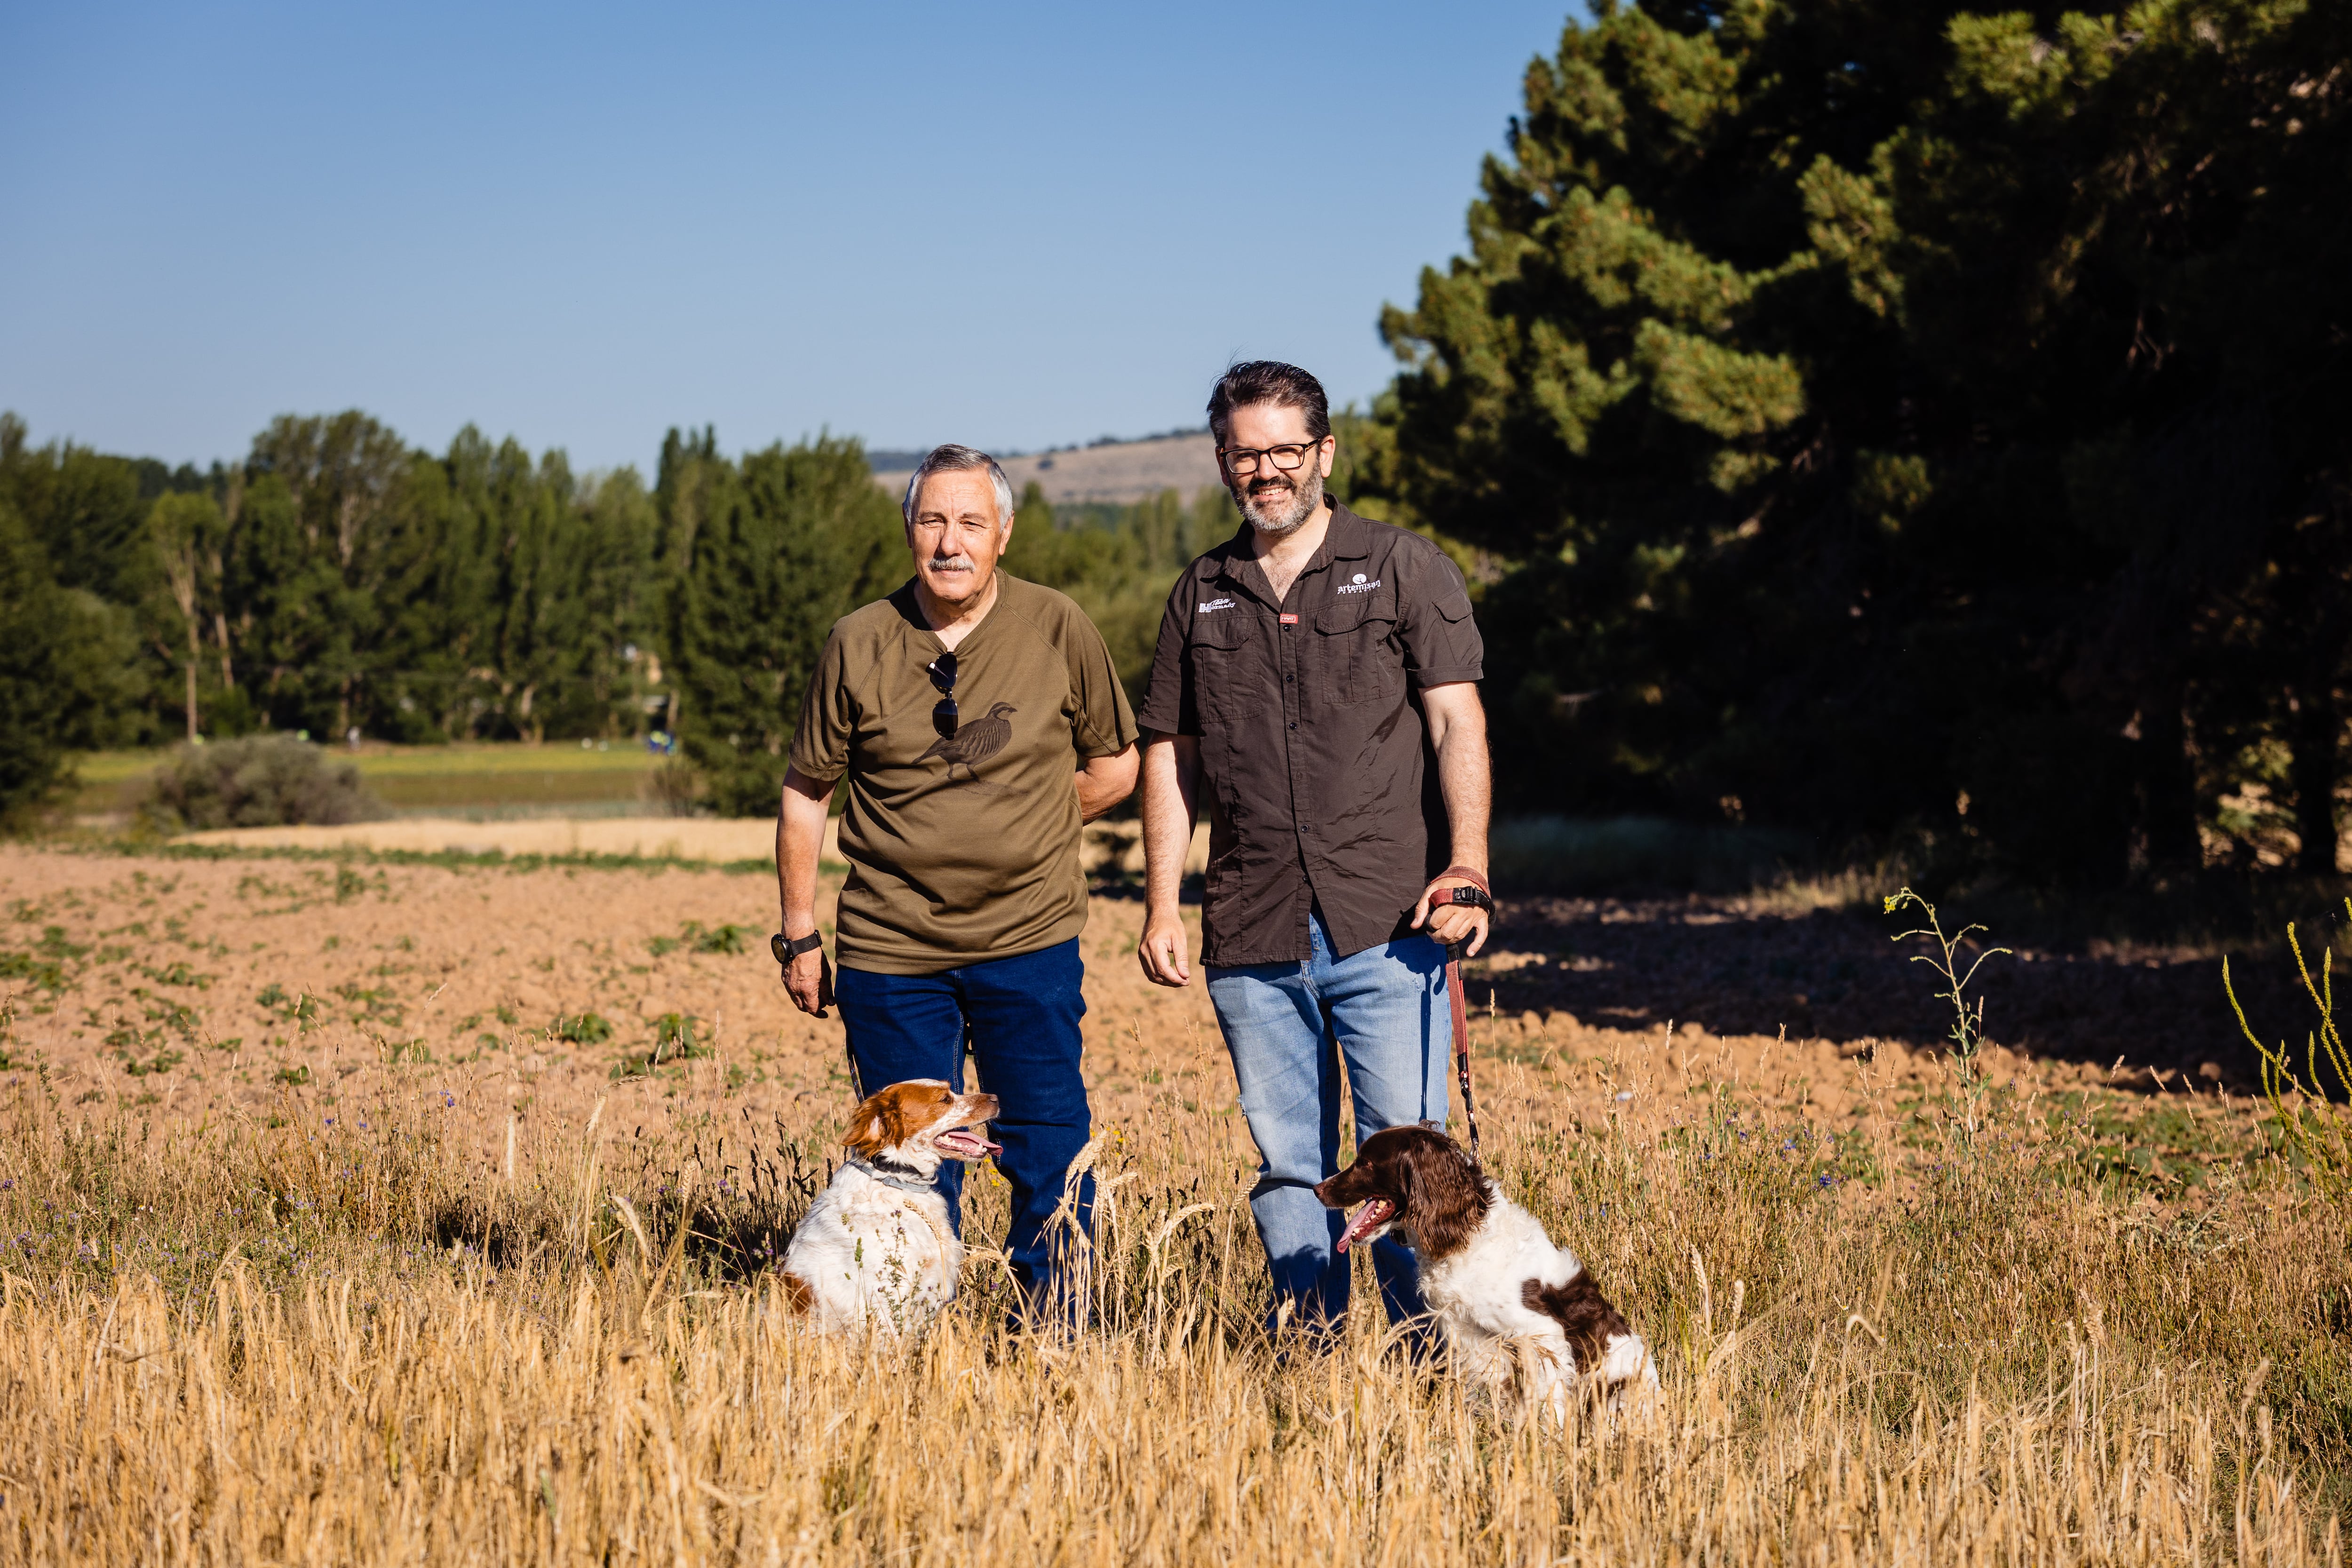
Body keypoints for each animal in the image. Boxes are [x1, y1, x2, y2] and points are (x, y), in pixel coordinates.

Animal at [1317, 1123, 1665, 1420]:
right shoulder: (1469, 1338)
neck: (1467, 1236)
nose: (1318, 1189)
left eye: (1366, 1163)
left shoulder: (1541, 1334)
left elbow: (1548, 1405)